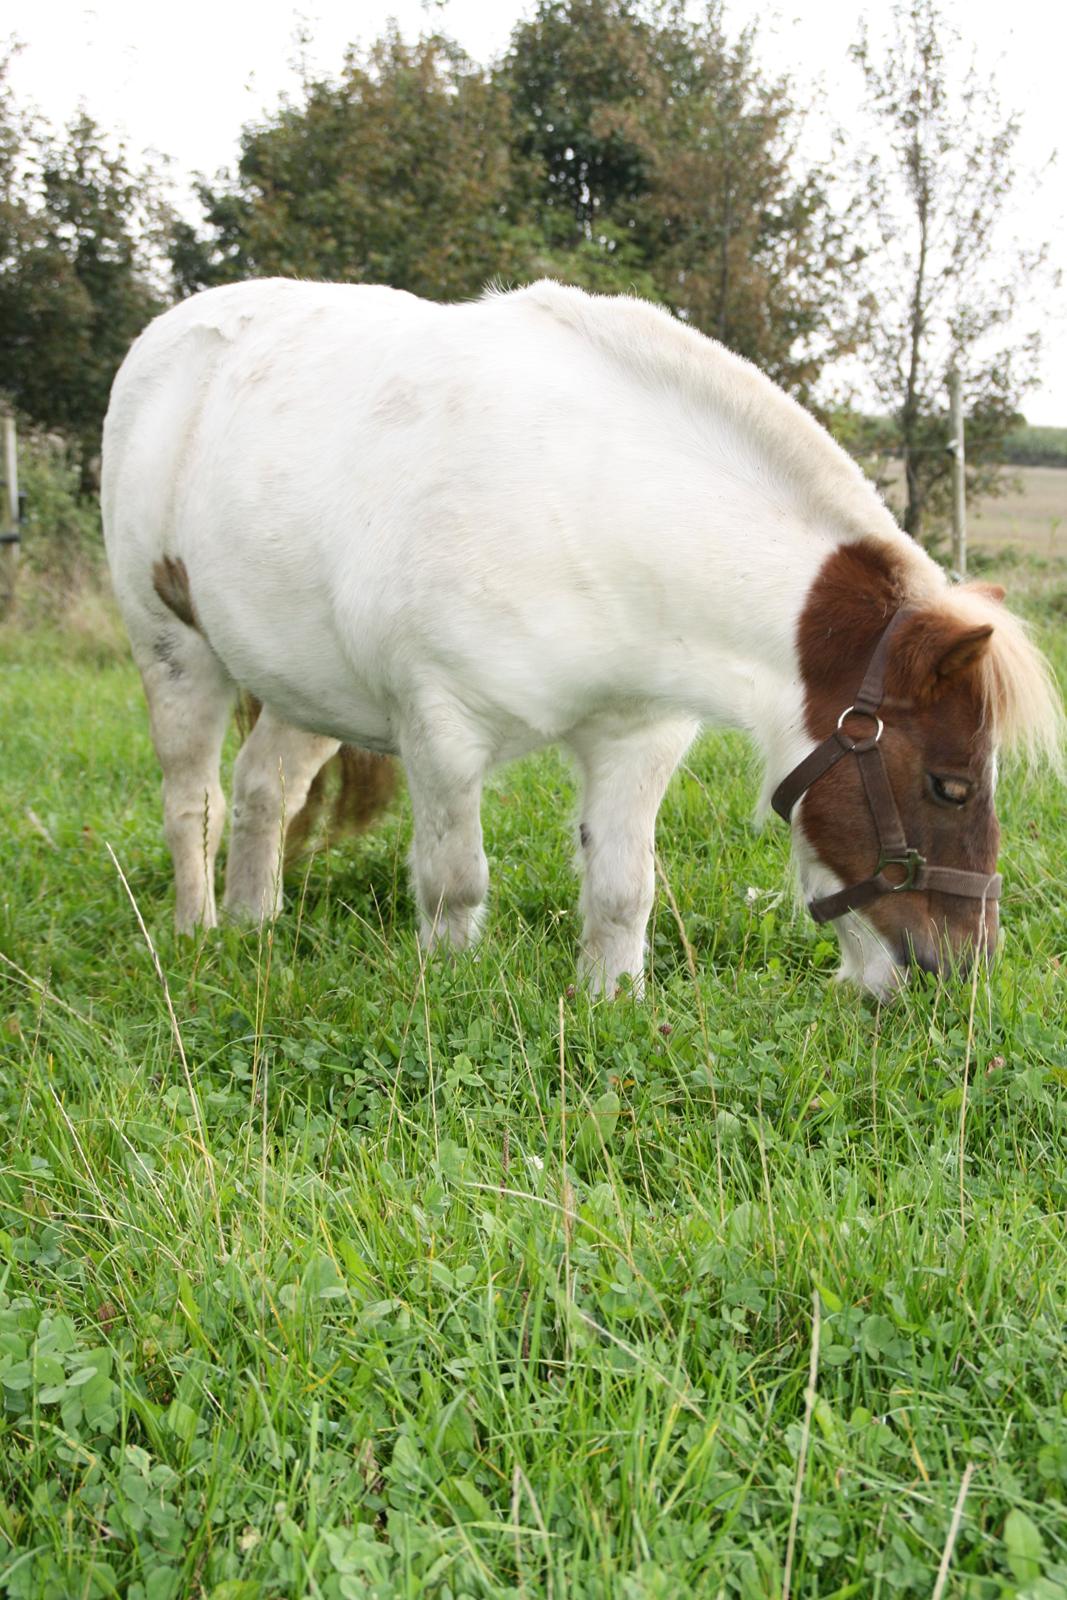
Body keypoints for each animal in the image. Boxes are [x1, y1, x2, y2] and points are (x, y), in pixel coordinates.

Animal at [97, 281, 1062, 992]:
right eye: (947, 787)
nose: (961, 973)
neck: (592, 505)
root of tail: (166, 335)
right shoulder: (441, 730)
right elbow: (455, 882)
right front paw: (449, 990)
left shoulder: (637, 735)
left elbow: (622, 889)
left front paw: (610, 1002)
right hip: (175, 655)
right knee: (194, 803)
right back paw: (198, 933)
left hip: (306, 686)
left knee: (263, 791)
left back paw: (254, 925)